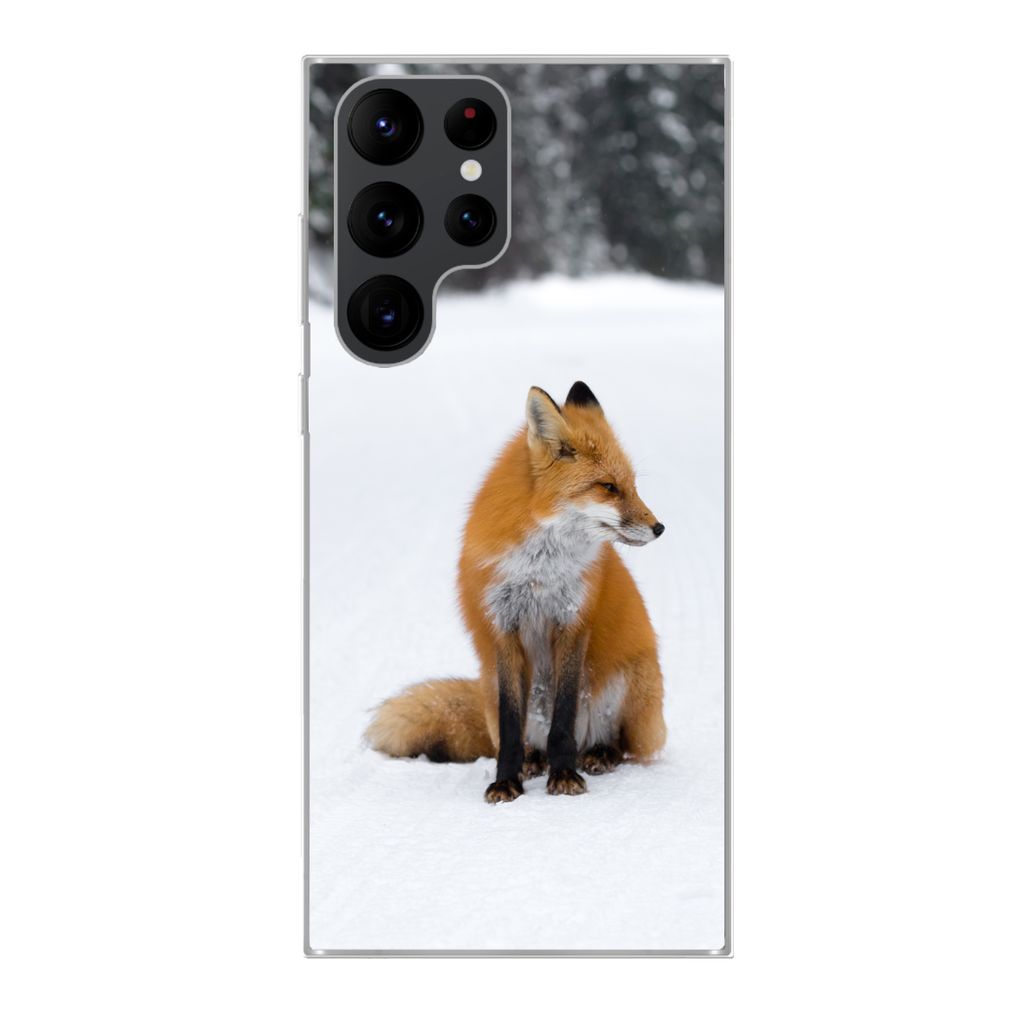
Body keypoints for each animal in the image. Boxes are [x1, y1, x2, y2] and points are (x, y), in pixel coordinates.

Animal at [366, 381, 667, 803]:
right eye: (609, 487)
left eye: (632, 486)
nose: (659, 528)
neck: (539, 571)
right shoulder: (503, 627)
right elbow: (510, 728)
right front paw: (506, 780)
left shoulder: (572, 622)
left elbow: (563, 720)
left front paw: (564, 775)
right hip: (491, 683)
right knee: (520, 738)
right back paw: (533, 760)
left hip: (630, 682)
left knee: (621, 744)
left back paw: (597, 754)